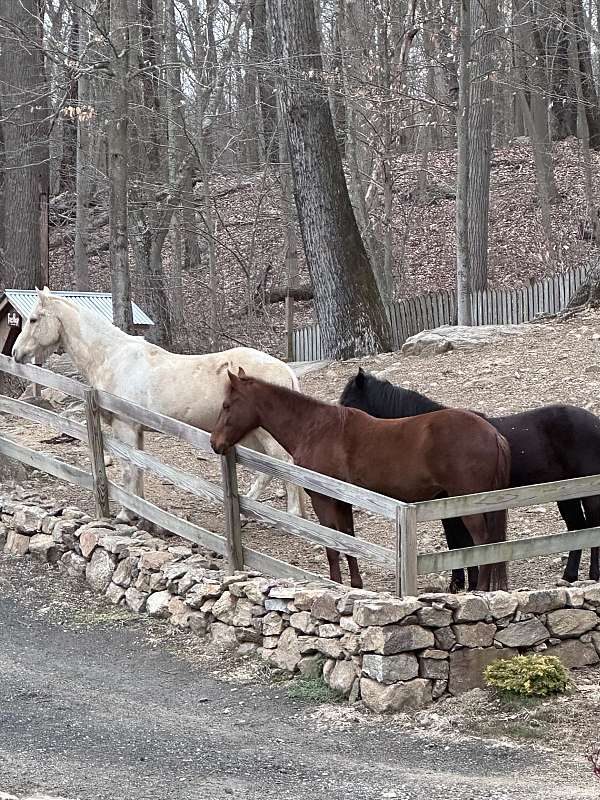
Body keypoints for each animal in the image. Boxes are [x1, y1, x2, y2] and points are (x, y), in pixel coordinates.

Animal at [12, 290, 304, 520]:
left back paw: (290, 515)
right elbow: (138, 468)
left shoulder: (125, 427)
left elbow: (128, 469)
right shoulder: (137, 431)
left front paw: (126, 514)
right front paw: (140, 511)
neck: (111, 357)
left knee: (284, 466)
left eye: (34, 319)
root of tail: (285, 371)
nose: (16, 353)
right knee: (267, 472)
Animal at [211, 372, 510, 592]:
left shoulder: (323, 500)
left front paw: (336, 585)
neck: (316, 428)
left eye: (227, 405)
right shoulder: (343, 501)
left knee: (483, 543)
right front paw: (355, 585)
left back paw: (481, 590)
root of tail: (492, 433)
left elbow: (332, 545)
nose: (215, 443)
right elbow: (348, 541)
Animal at [340, 368, 600, 588]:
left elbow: (458, 542)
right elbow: (460, 543)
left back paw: (592, 574)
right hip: (566, 495)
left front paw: (461, 583)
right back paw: (569, 576)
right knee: (578, 528)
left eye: (348, 403)